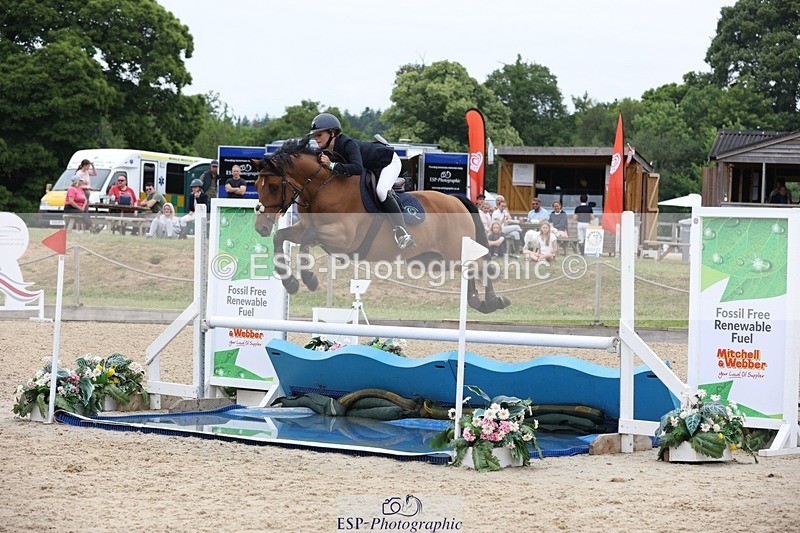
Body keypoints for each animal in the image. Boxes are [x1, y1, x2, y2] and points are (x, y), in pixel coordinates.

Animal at [251, 136, 510, 314]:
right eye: (256, 184)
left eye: (273, 186)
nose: (260, 227)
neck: (322, 188)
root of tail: (457, 200)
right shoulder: (306, 229)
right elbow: (281, 238)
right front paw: (291, 283)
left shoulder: (343, 238)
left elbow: (307, 240)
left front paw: (309, 279)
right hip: (437, 260)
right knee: (471, 269)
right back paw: (479, 301)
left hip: (453, 251)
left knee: (483, 265)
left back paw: (494, 300)